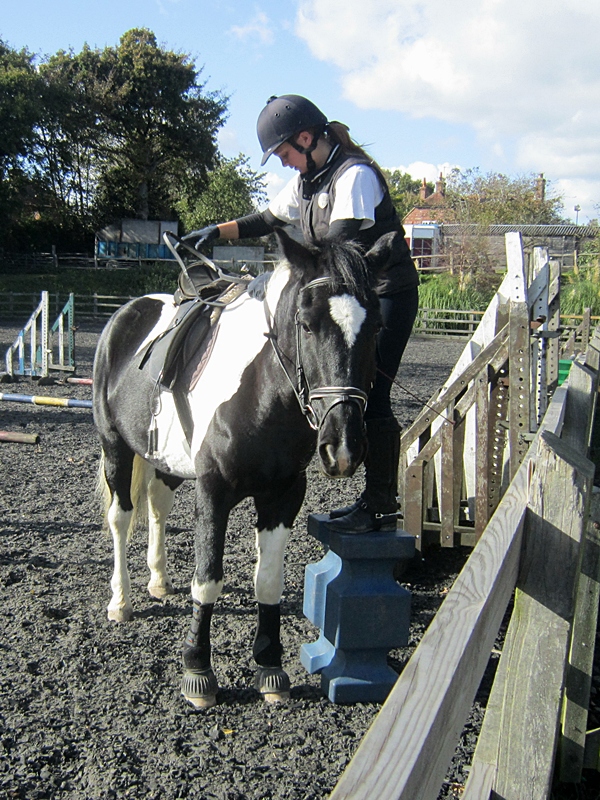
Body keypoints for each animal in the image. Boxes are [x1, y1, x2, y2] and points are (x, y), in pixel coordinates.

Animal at [93, 228, 401, 709]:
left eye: (376, 328)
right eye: (306, 324)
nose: (344, 447)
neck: (262, 392)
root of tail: (127, 312)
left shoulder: (283, 495)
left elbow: (269, 581)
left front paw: (270, 667)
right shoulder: (213, 492)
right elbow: (207, 580)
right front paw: (198, 671)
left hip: (165, 462)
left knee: (158, 507)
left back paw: (159, 579)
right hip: (116, 449)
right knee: (121, 517)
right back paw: (120, 600)